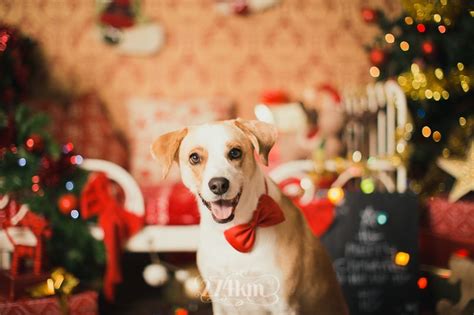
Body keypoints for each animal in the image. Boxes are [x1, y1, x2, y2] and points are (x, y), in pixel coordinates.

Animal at [152, 119, 348, 314]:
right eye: (194, 157)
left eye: (235, 152)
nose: (218, 184)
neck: (234, 230)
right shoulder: (221, 301)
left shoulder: (284, 305)